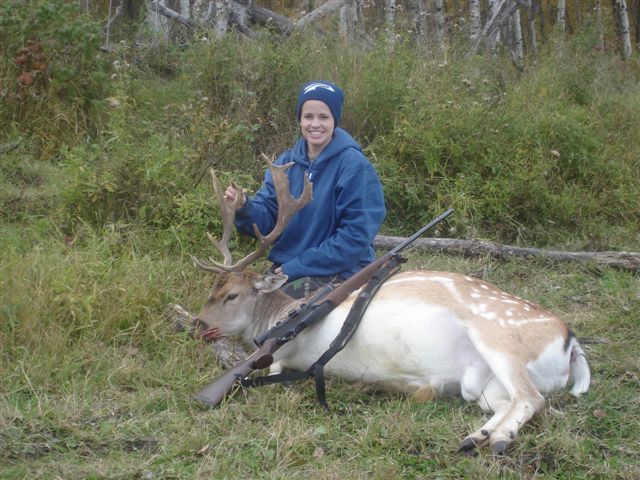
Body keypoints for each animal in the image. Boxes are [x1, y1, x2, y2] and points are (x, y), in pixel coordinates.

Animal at [191, 156, 591, 456]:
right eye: (212, 288)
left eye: (232, 295)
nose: (198, 323)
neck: (280, 317)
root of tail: (572, 343)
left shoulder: (281, 356)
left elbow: (263, 369)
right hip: (482, 385)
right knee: (510, 402)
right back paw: (474, 438)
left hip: (500, 341)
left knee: (532, 398)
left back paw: (498, 441)